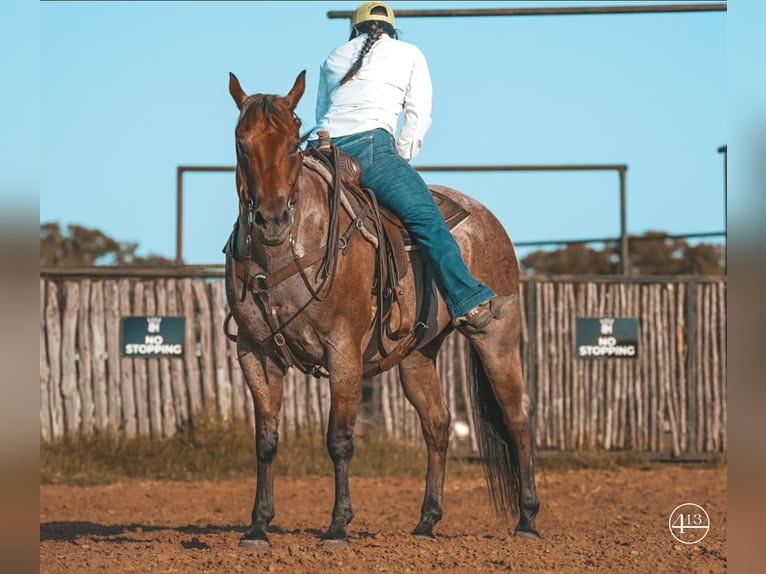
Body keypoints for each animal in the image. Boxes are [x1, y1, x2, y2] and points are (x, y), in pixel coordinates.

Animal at [225, 70, 544, 552]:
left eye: (293, 144)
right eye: (242, 144)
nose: (272, 219)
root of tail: (489, 221)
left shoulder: (343, 353)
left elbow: (339, 439)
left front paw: (338, 526)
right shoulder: (254, 353)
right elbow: (266, 441)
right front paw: (258, 527)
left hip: (498, 339)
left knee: (515, 415)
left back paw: (526, 519)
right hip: (416, 356)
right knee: (437, 423)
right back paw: (427, 521)